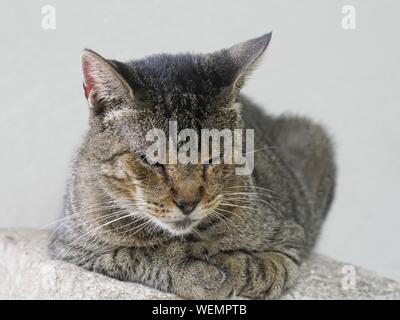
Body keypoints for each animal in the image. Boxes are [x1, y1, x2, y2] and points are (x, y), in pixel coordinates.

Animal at [50, 33, 338, 298]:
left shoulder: (289, 240)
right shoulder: (73, 249)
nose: (188, 203)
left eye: (213, 157)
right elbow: (137, 255)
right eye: (151, 161)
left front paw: (223, 262)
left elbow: (260, 268)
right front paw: (200, 274)